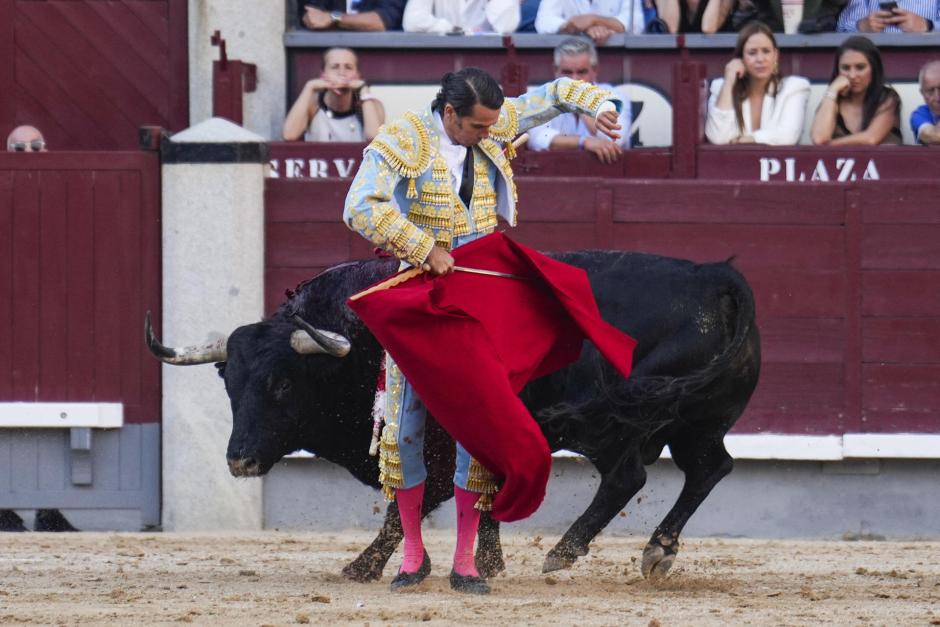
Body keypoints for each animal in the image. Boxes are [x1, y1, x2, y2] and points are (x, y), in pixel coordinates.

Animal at [149, 248, 764, 580]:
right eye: (228, 382)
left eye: (280, 382)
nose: (240, 461)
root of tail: (714, 277)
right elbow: (482, 500)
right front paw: (488, 564)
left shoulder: (436, 446)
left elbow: (406, 505)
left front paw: (365, 568)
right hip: (696, 422)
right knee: (710, 468)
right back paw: (657, 551)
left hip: (615, 422)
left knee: (628, 476)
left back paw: (564, 552)